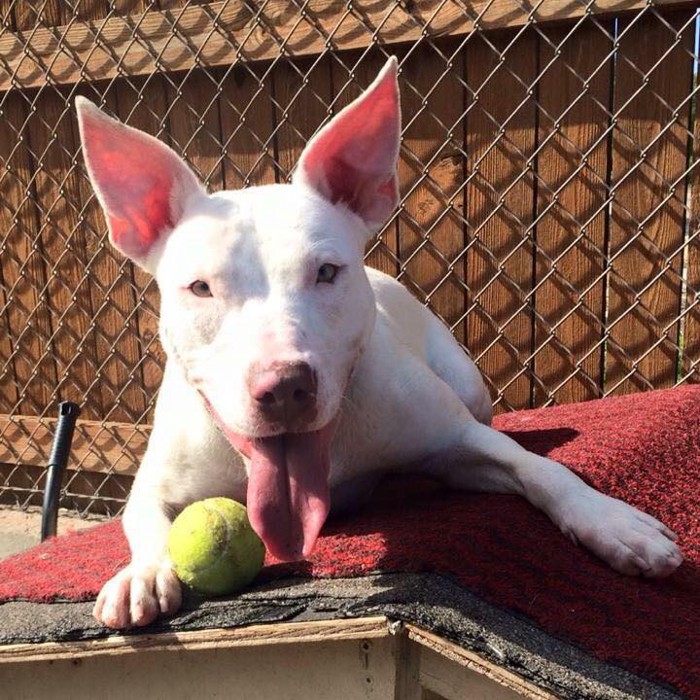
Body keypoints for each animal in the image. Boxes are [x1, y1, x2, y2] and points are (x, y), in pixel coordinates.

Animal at [74, 57, 680, 632]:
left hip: (466, 384)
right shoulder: (156, 482)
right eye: (200, 288)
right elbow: (142, 518)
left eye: (326, 272)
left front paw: (609, 519)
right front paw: (143, 573)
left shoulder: (457, 439)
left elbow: (539, 469)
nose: (285, 387)